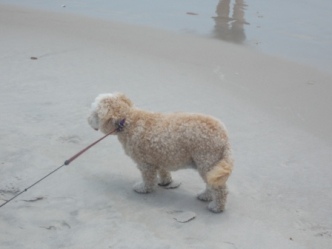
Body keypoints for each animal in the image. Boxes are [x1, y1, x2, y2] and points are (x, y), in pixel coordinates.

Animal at [88, 92, 233, 213]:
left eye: (94, 113)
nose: (87, 119)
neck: (127, 119)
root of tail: (224, 136)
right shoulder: (160, 155)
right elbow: (163, 171)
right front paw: (165, 181)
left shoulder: (145, 163)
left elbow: (148, 179)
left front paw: (144, 188)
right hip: (211, 166)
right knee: (212, 183)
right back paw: (206, 196)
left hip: (207, 161)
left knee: (220, 189)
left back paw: (217, 207)